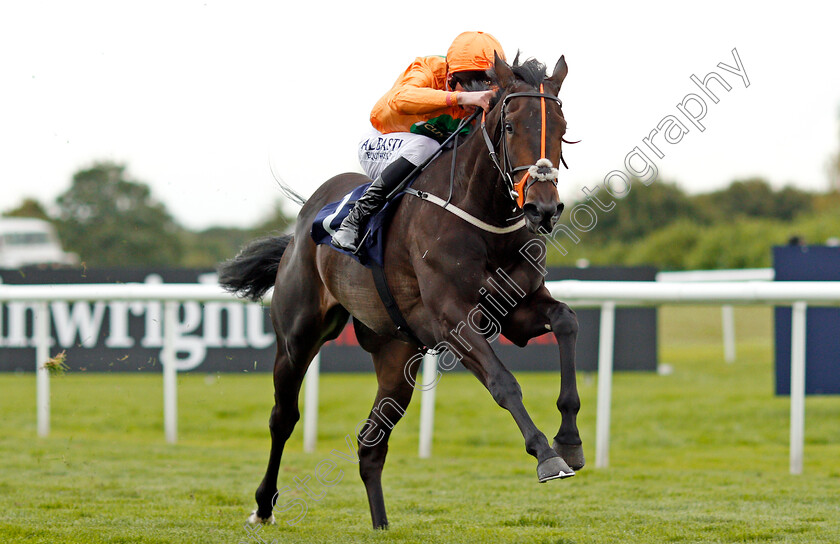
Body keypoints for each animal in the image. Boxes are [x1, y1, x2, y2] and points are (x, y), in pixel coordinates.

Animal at [218, 53, 584, 528]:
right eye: (508, 126)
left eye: (561, 127)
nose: (543, 209)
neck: (482, 214)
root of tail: (303, 223)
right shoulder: (452, 319)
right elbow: (504, 382)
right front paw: (545, 455)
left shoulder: (516, 310)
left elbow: (566, 321)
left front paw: (570, 441)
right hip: (297, 336)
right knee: (284, 417)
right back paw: (263, 506)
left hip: (396, 354)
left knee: (370, 444)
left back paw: (381, 525)